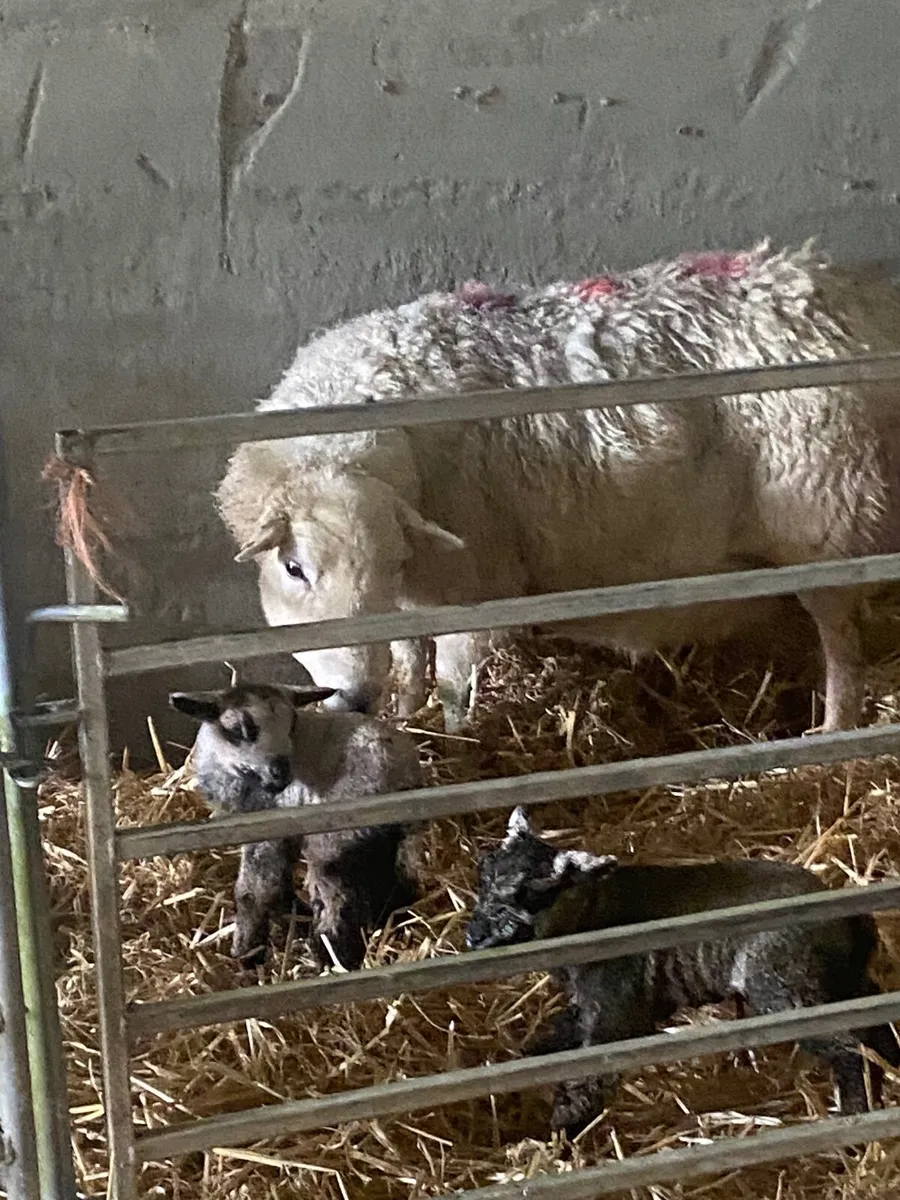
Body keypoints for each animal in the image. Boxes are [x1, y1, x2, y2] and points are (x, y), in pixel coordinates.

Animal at [170, 683, 421, 971]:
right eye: (240, 728)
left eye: (292, 724)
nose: (280, 771)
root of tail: (401, 772)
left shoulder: (266, 830)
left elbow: (255, 890)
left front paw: (246, 953)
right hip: (377, 838)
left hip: (335, 840)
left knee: (337, 899)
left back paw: (331, 957)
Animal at [215, 242, 900, 732]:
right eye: (294, 569)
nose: (356, 698)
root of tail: (842, 293)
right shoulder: (418, 593)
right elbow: (410, 662)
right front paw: (406, 720)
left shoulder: (476, 581)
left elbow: (453, 680)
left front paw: (455, 739)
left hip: (826, 517)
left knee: (843, 642)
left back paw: (834, 730)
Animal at [465, 807, 900, 1136]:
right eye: (483, 873)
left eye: (535, 891)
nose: (474, 935)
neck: (591, 914)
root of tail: (854, 920)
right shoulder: (593, 1004)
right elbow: (547, 1045)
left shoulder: (617, 1010)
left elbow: (590, 1077)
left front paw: (563, 1130)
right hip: (842, 983)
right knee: (878, 1035)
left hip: (787, 991)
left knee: (849, 1051)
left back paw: (854, 1116)